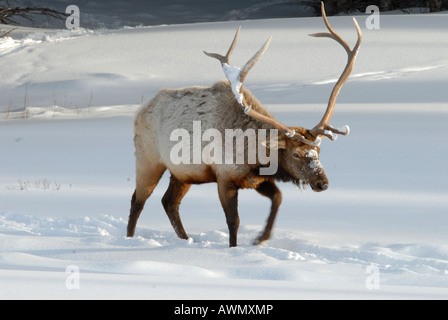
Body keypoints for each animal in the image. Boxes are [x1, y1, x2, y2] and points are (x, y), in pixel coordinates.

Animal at [126, 2, 360, 246]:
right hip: (149, 159)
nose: (323, 183)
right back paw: (130, 237)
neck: (254, 156)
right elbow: (233, 221)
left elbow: (278, 197)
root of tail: (139, 111)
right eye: (295, 154)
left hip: (183, 172)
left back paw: (186, 239)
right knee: (138, 200)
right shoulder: (224, 177)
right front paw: (235, 247)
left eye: (318, 150)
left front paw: (261, 238)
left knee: (169, 202)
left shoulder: (257, 179)